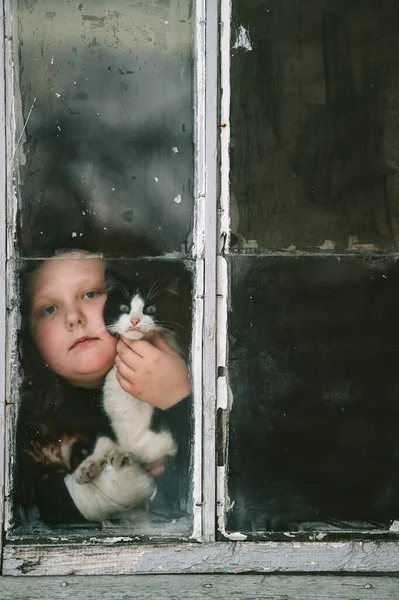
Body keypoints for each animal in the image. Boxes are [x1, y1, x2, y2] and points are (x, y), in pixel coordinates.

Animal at [74, 270, 181, 488]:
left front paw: (124, 455)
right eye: (124, 307)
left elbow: (150, 445)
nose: (134, 320)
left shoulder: (163, 435)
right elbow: (104, 437)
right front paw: (89, 463)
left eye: (151, 308)